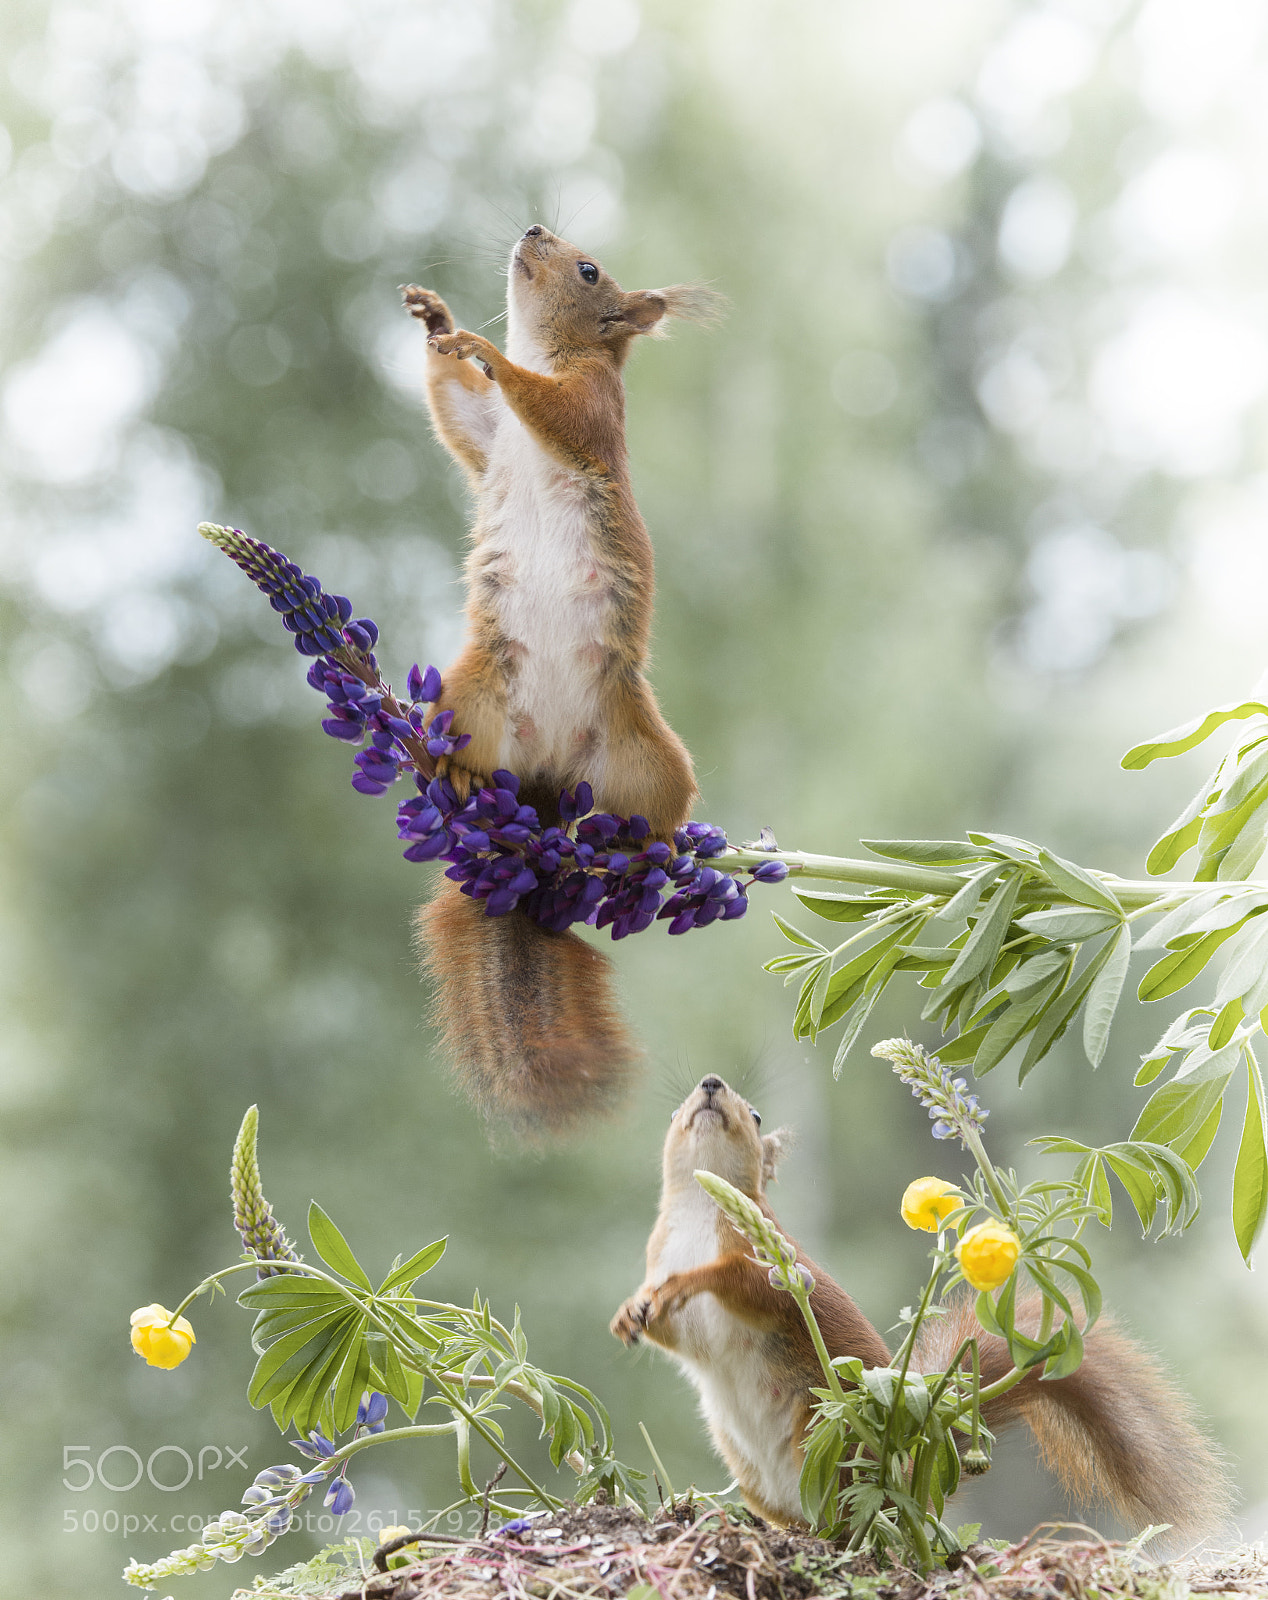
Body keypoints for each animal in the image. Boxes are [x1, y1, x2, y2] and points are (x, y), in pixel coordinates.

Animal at [401, 227, 718, 1134]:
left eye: (589, 271)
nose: (536, 230)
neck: (551, 344)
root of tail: (543, 786)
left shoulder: (594, 411)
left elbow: (550, 405)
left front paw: (485, 351)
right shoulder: (488, 439)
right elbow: (462, 415)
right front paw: (436, 323)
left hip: (648, 759)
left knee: (653, 810)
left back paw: (647, 848)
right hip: (469, 696)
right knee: (466, 751)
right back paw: (457, 773)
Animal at [611, 1074, 1232, 1543]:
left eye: (757, 1115)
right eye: (676, 1108)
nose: (711, 1084)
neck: (696, 1209)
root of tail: (910, 1461)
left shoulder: (775, 1256)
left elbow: (745, 1283)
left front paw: (689, 1282)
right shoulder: (662, 1263)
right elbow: (679, 1337)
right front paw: (630, 1314)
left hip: (834, 1446)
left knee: (855, 1523)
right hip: (758, 1475)